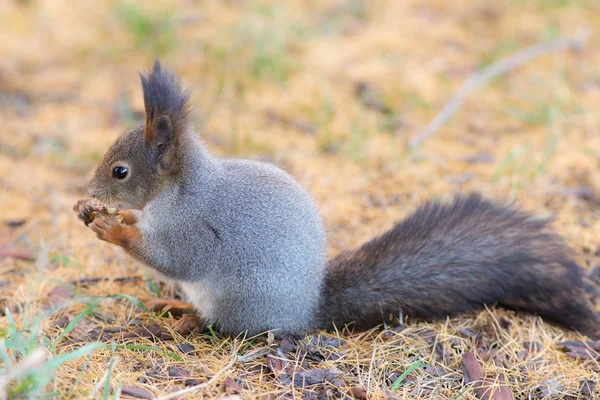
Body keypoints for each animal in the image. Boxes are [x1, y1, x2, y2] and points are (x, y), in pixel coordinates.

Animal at [75, 61, 600, 340]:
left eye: (121, 171)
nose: (90, 193)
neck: (179, 191)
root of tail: (304, 312)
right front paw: (111, 217)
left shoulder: (196, 228)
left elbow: (172, 258)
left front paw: (112, 227)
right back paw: (173, 306)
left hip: (240, 300)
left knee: (222, 326)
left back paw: (185, 322)